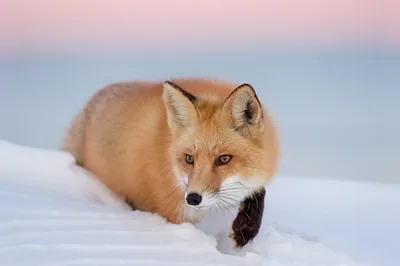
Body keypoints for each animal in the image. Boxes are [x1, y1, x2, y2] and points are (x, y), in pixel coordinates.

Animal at [61, 77, 280, 247]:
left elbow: (258, 190)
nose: (193, 198)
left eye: (224, 159)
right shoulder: (173, 212)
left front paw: (244, 230)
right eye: (189, 159)